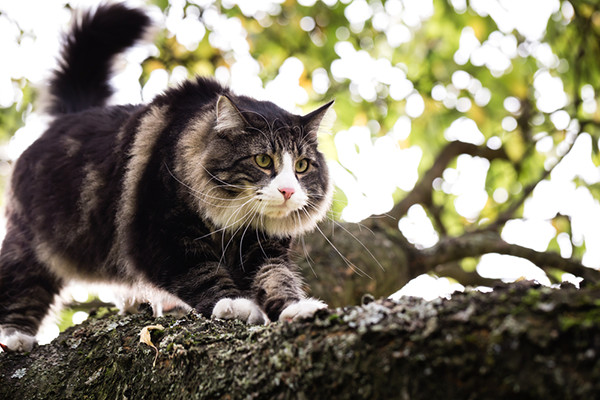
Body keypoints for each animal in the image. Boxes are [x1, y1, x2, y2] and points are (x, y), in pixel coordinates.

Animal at [0, 4, 332, 352]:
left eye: (302, 166)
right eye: (264, 160)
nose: (287, 191)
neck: (230, 220)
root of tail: (70, 116)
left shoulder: (261, 246)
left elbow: (276, 279)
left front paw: (297, 309)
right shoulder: (160, 233)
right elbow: (201, 273)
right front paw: (233, 304)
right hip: (30, 246)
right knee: (18, 288)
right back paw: (16, 338)